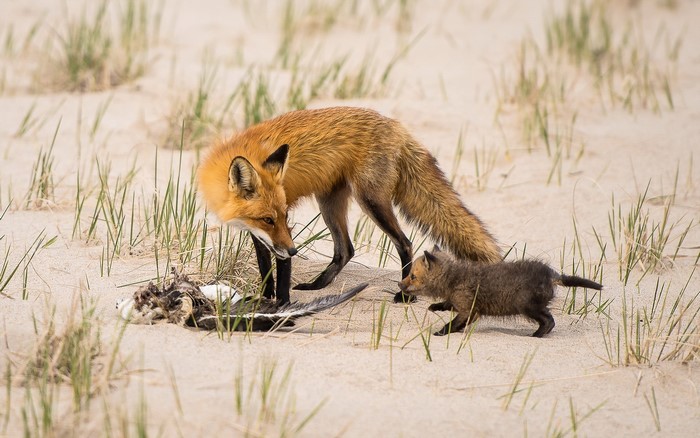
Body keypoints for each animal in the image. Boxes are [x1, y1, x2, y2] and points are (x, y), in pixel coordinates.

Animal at [198, 107, 501, 304]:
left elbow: (281, 269)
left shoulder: (284, 233)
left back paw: (404, 295)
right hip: (329, 203)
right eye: (267, 219)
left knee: (404, 243)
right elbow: (265, 269)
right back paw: (317, 285)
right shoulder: (262, 235)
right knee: (346, 249)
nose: (295, 250)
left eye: (284, 216)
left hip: (371, 201)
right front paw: (265, 297)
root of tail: (396, 126)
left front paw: (280, 304)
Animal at [398, 247, 603, 337]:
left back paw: (537, 335)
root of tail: (552, 274)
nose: (400, 285)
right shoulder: (465, 306)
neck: (454, 278)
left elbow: (454, 323)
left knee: (549, 320)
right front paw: (435, 307)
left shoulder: (468, 310)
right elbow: (448, 306)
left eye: (413, 276)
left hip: (526, 305)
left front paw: (441, 332)